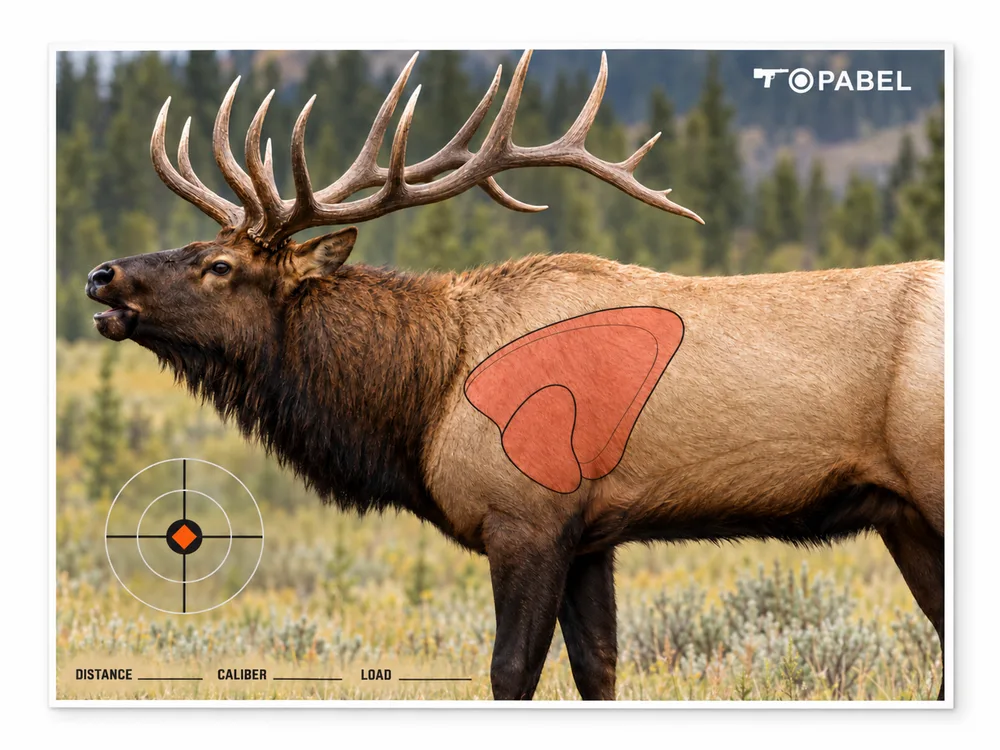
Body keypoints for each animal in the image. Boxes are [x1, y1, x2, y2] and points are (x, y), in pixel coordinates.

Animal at [85, 50, 945, 701]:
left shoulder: (525, 517)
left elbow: (511, 671)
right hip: (901, 515)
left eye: (219, 266)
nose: (101, 275)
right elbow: (599, 668)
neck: (423, 399)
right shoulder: (592, 533)